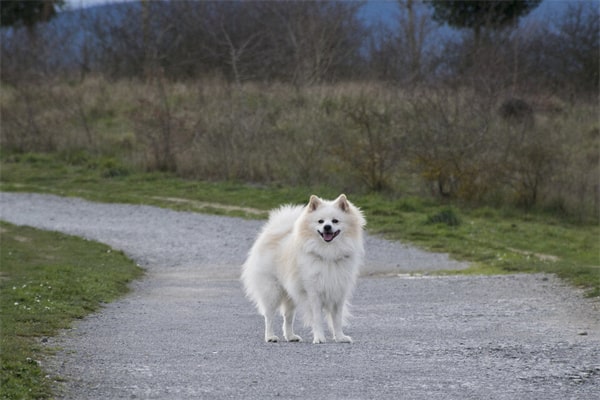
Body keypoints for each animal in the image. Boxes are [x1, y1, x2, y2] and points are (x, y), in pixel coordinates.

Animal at [240, 195, 366, 344]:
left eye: (335, 221)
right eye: (320, 221)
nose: (327, 227)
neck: (328, 253)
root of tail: (272, 232)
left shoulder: (338, 294)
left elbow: (337, 320)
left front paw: (340, 337)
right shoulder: (314, 294)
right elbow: (317, 319)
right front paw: (319, 338)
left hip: (291, 294)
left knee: (288, 318)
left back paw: (291, 336)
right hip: (272, 291)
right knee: (269, 316)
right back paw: (270, 336)